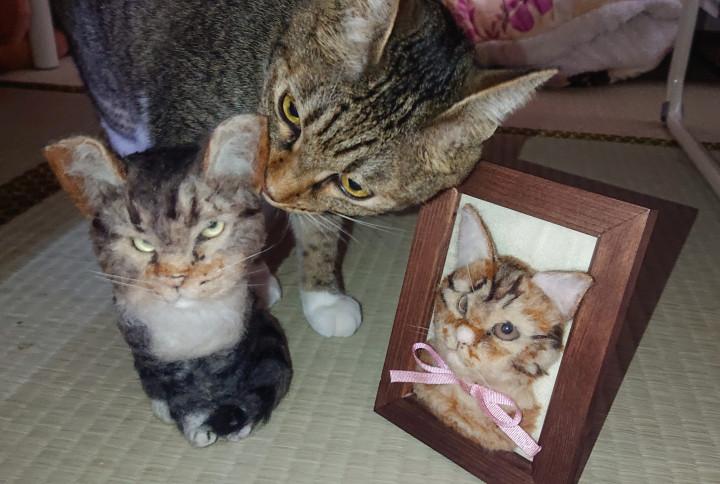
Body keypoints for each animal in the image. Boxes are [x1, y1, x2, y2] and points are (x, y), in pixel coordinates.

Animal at [43, 114, 292, 447]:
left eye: (211, 228)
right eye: (142, 245)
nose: (177, 276)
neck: (191, 325)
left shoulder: (242, 334)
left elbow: (247, 375)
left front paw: (236, 418)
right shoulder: (153, 352)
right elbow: (181, 395)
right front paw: (197, 426)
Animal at [53, 0, 555, 337]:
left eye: (353, 185)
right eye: (290, 110)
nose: (272, 187)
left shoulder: (319, 201)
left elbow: (319, 234)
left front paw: (321, 296)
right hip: (111, 82)